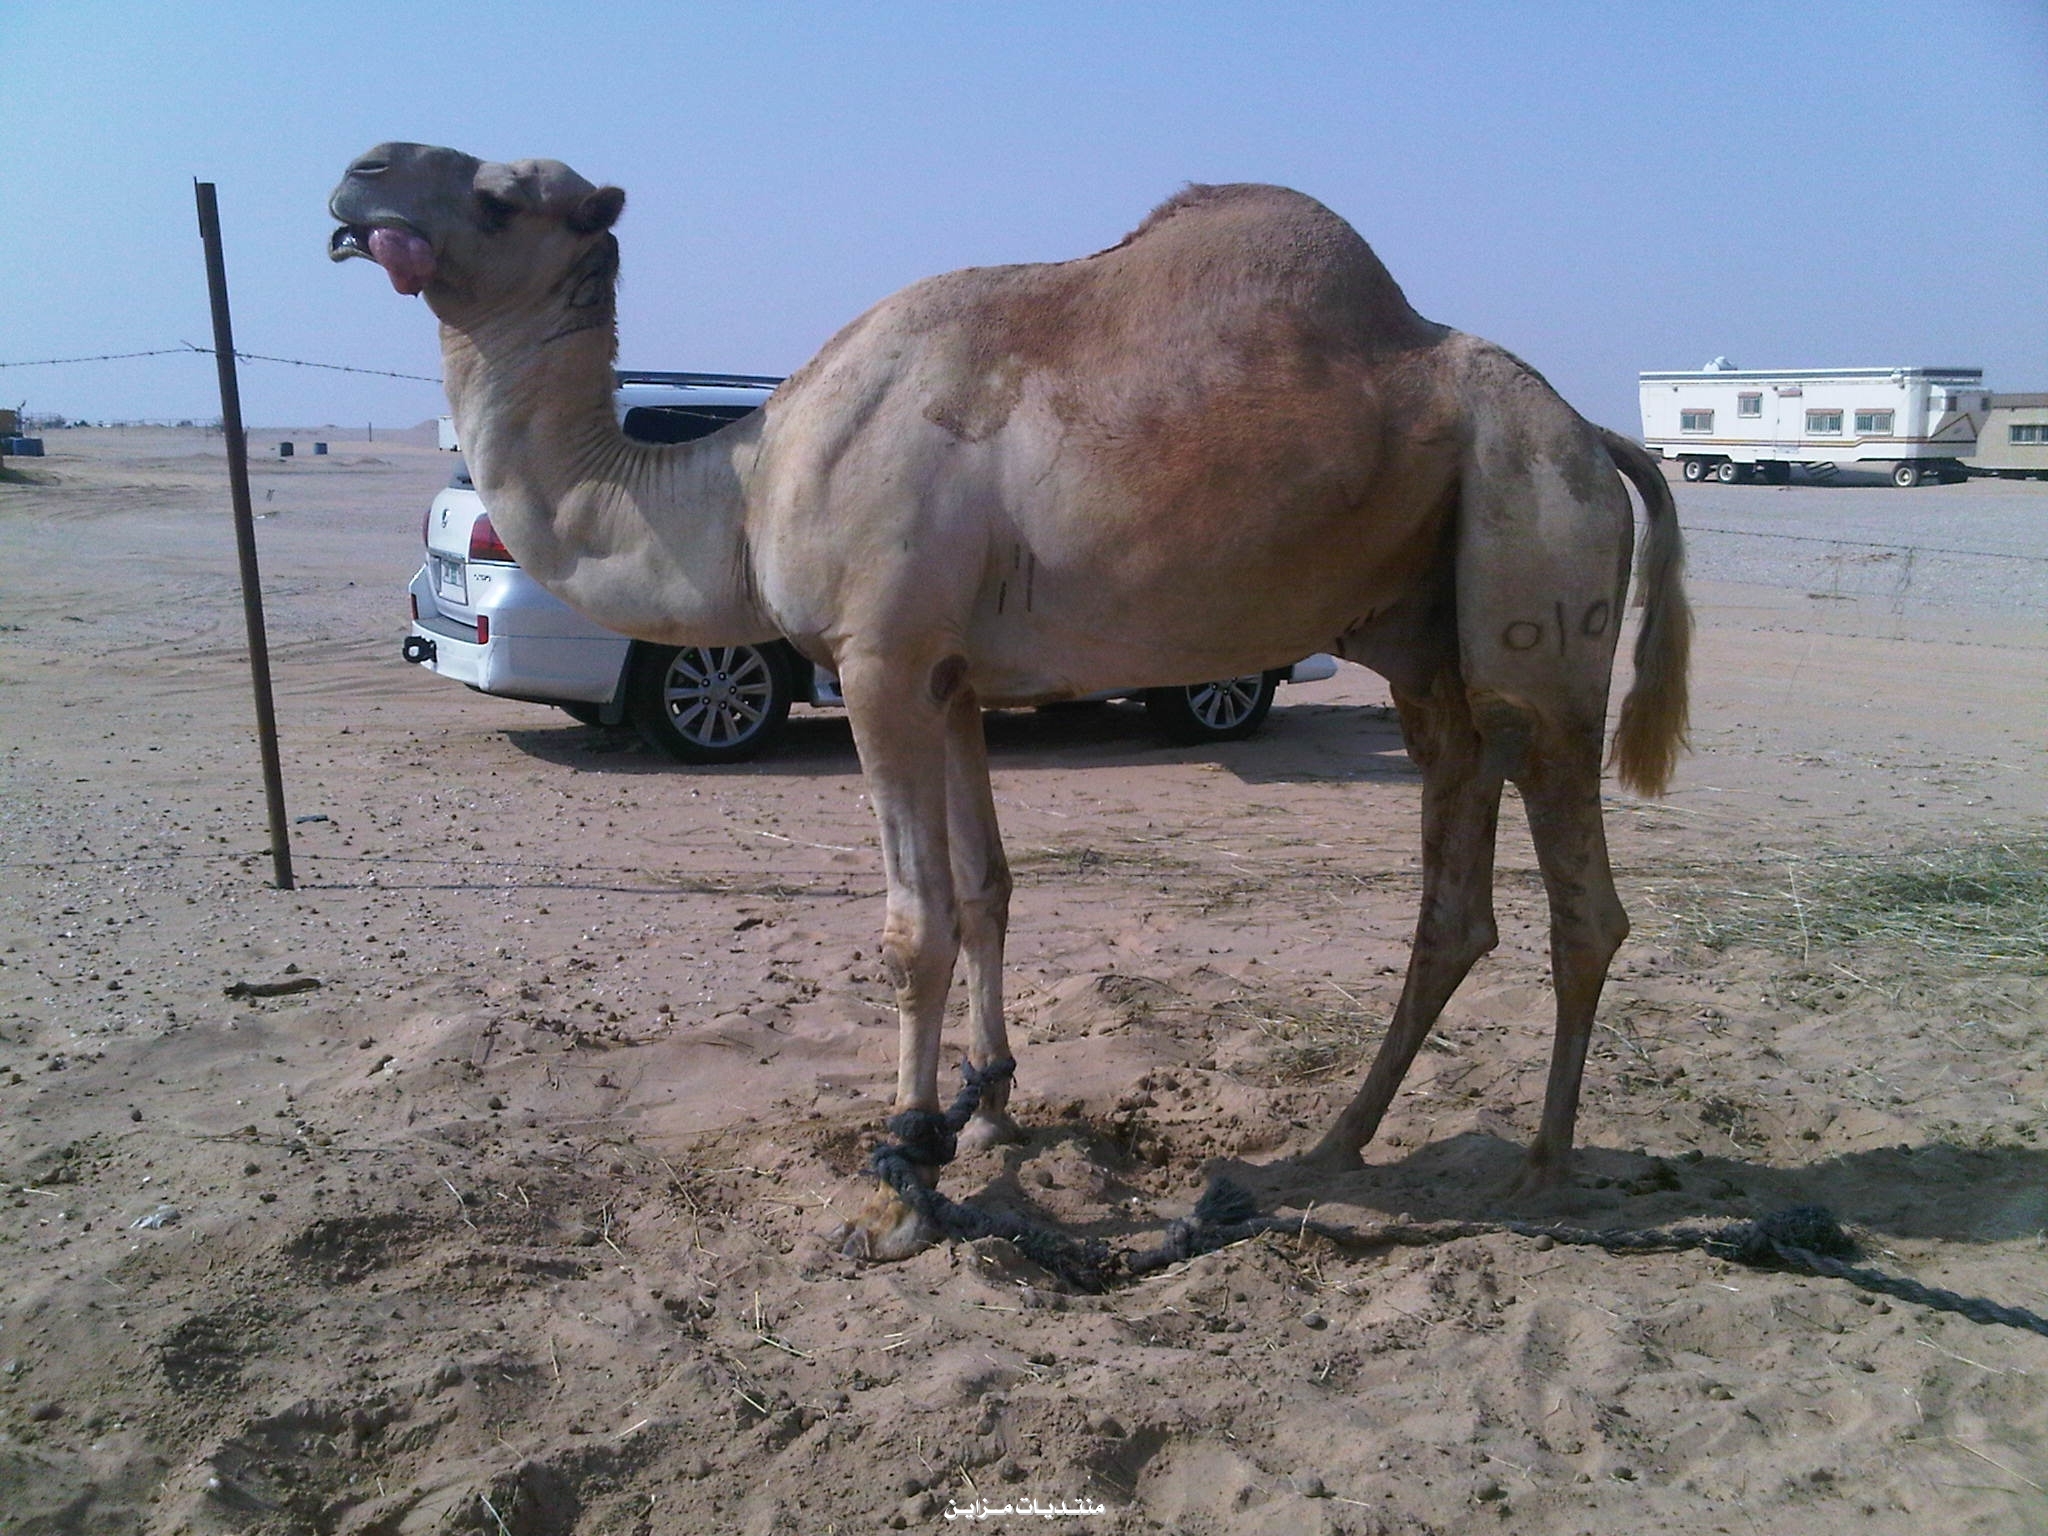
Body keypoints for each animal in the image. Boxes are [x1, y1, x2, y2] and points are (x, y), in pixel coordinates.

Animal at [330, 143, 1690, 1259]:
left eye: (502, 195)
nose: (355, 179)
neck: (744, 480)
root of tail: (1591, 434)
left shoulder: (879, 659)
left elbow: (913, 923)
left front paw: (899, 1178)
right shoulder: (947, 676)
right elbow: (987, 887)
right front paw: (984, 1113)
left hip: (1535, 580)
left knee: (1580, 892)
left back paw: (1539, 1170)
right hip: (1422, 645)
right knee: (1453, 888)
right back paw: (1334, 1145)